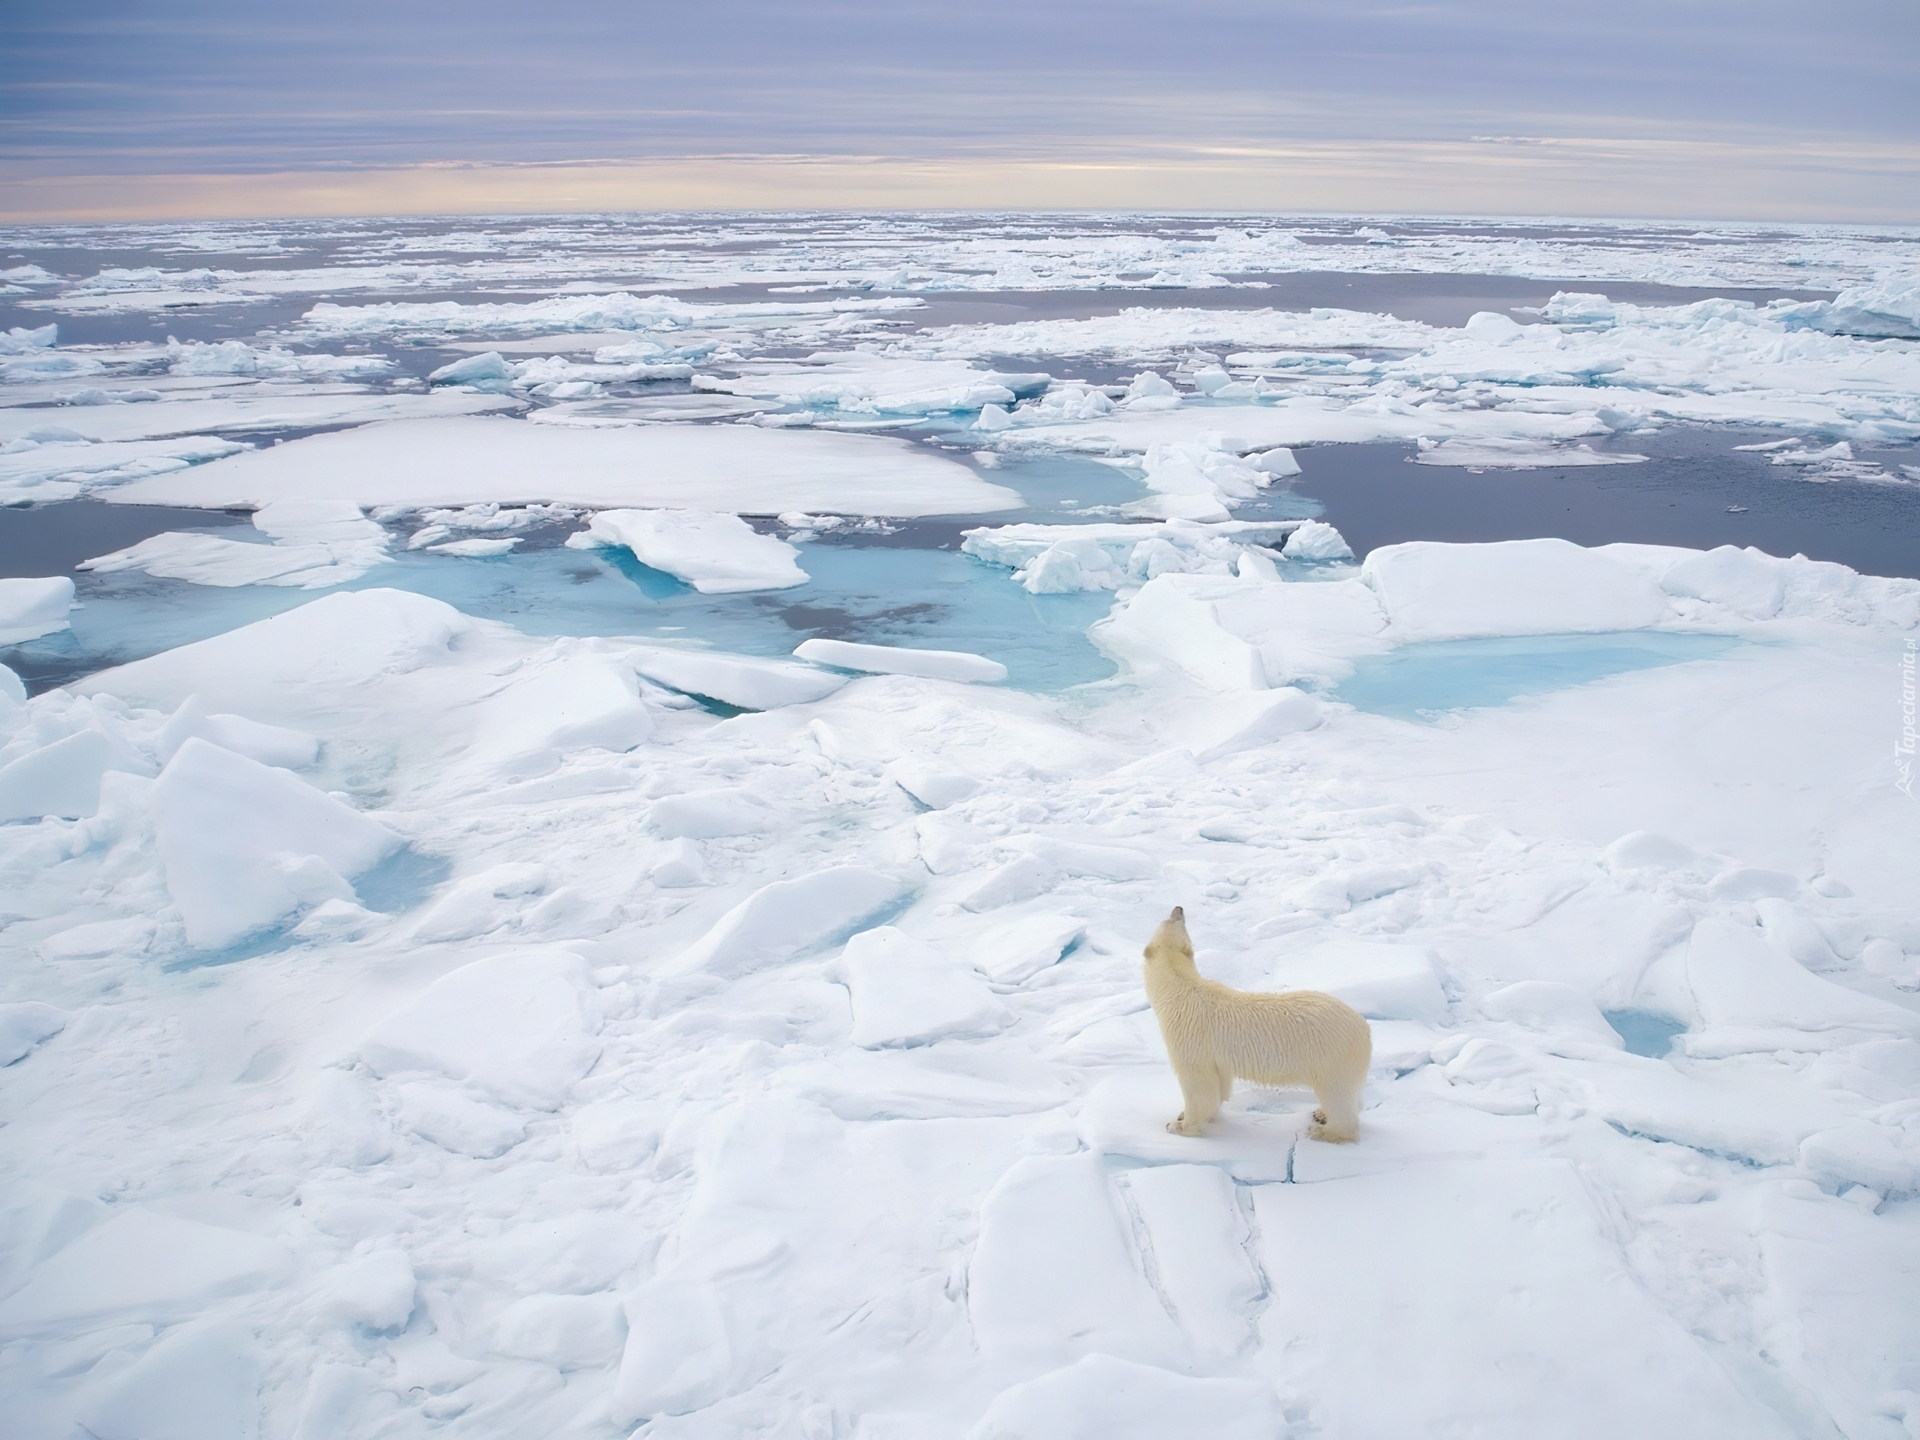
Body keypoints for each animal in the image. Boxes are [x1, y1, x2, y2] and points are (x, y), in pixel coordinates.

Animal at [1136, 913, 1367, 1136]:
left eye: (1172, 920)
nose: (1179, 908)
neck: (1181, 992)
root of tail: (1364, 1028)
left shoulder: (1190, 1039)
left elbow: (1199, 1088)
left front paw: (1178, 1125)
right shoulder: (1218, 1057)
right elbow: (1220, 1085)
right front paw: (1186, 1115)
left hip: (1331, 1057)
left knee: (1337, 1096)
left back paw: (1322, 1130)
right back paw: (1321, 1114)